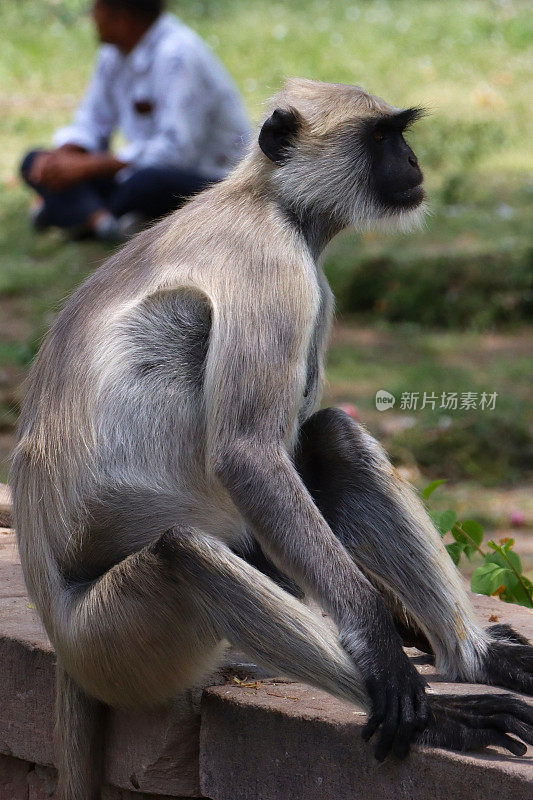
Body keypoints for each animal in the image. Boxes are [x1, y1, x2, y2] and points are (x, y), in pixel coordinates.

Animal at [8, 76, 532, 800]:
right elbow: (248, 456)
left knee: (331, 438)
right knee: (186, 557)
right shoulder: (273, 266)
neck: (268, 201)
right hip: (111, 643)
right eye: (381, 137)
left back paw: (474, 663)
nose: (411, 162)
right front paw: (382, 646)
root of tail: (59, 634)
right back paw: (442, 722)